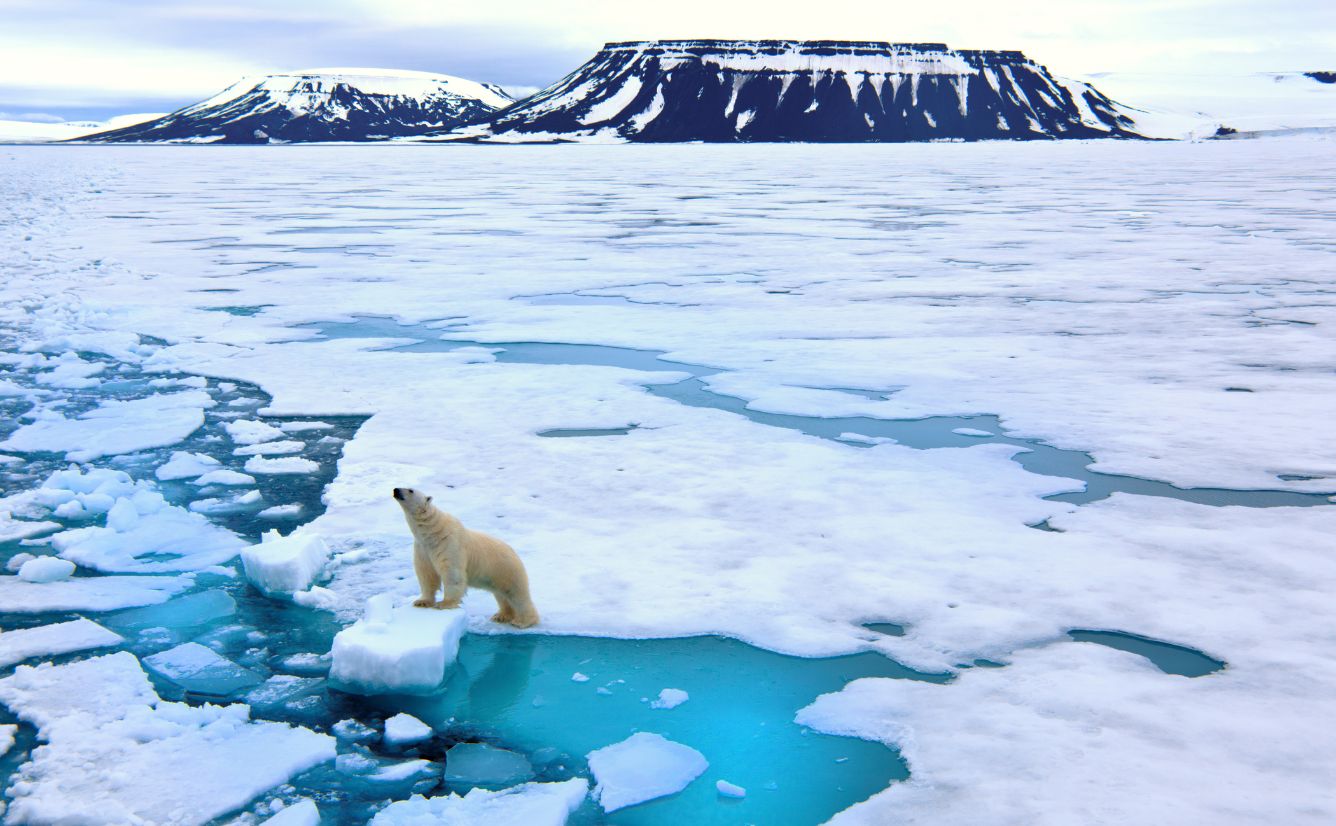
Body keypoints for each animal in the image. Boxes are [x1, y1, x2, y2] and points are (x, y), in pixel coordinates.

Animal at [392, 487, 540, 628]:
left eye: (410, 490)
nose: (396, 490)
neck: (432, 532)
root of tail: (514, 552)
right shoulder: (423, 549)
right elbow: (427, 574)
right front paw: (421, 602)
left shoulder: (449, 544)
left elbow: (452, 574)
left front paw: (444, 603)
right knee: (502, 595)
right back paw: (501, 616)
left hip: (507, 569)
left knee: (516, 594)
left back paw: (523, 621)